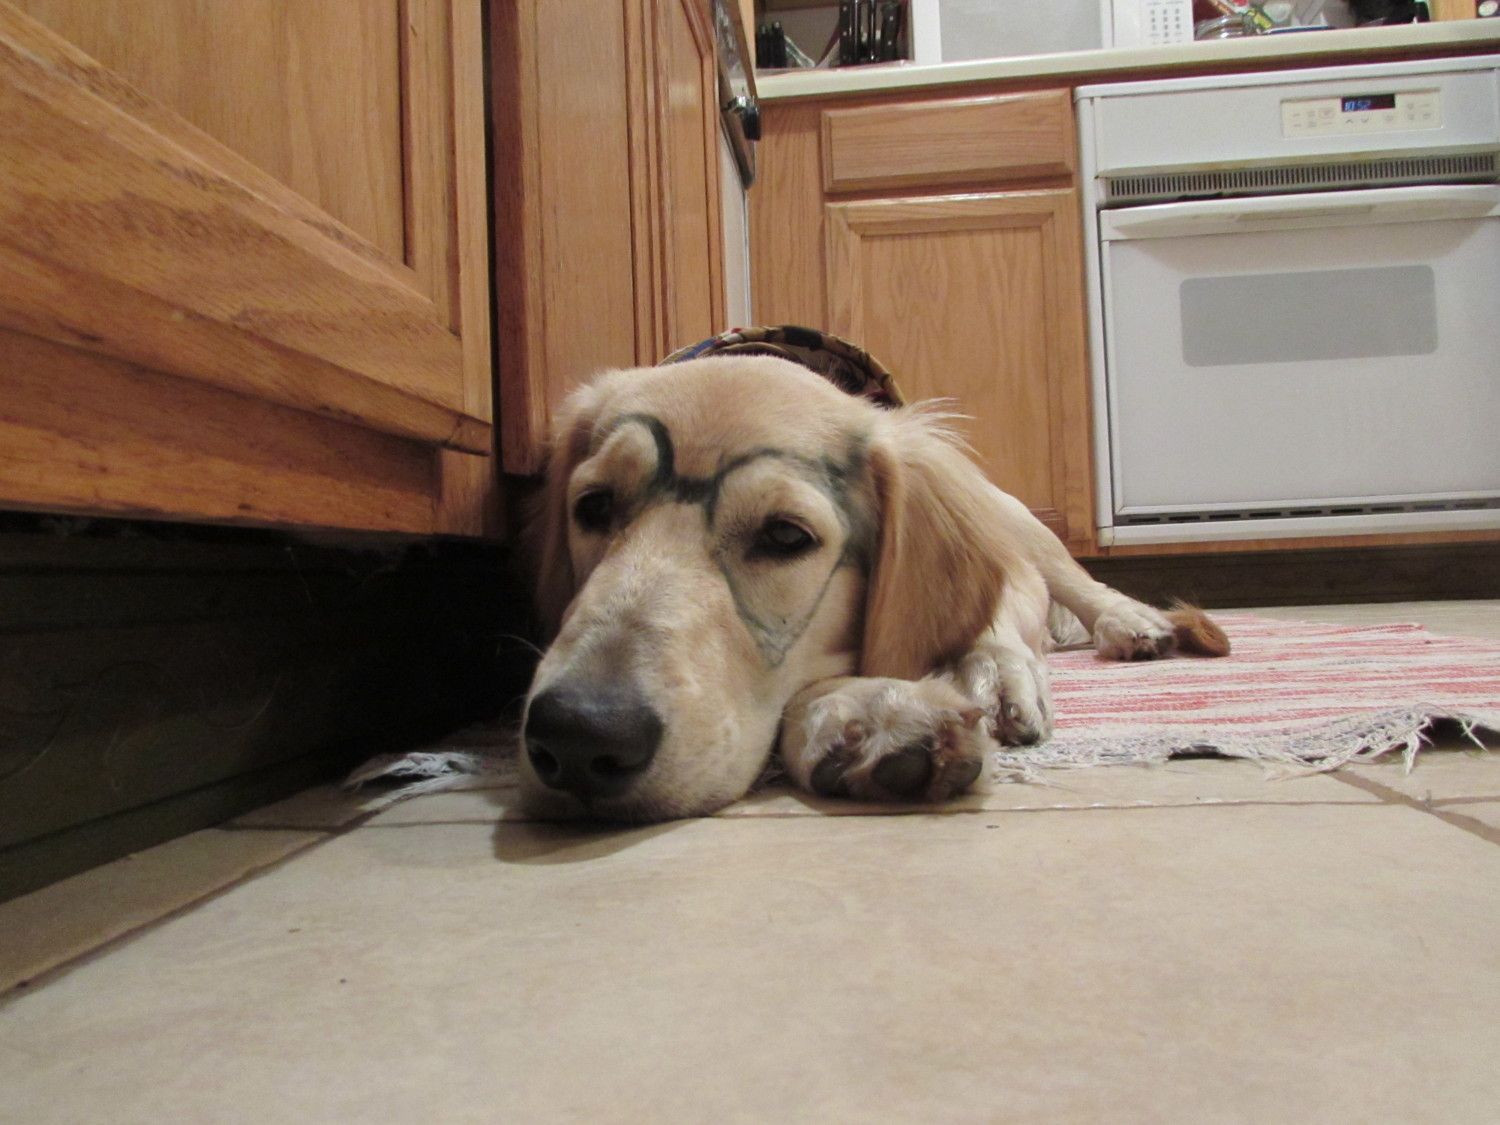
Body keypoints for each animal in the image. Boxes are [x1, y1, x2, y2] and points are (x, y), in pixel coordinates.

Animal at [518, 354, 1227, 822]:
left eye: (784, 535)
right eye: (594, 506)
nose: (578, 735)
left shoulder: (1011, 572)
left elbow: (995, 629)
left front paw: (986, 677)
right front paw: (868, 714)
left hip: (1020, 520)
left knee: (1081, 581)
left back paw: (1132, 625)